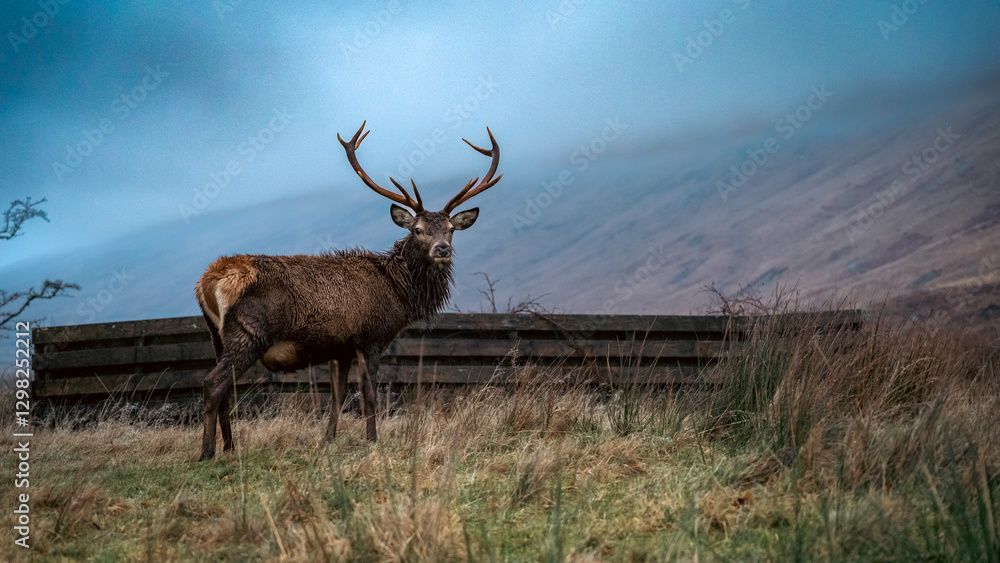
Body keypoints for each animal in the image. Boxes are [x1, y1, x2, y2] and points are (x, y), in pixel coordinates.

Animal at [194, 122, 502, 461]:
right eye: (417, 230)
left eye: (451, 229)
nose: (443, 249)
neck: (398, 292)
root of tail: (209, 279)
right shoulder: (370, 337)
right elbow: (368, 393)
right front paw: (373, 440)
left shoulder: (339, 347)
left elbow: (337, 396)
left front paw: (327, 440)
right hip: (249, 333)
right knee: (213, 383)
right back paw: (206, 452)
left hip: (216, 336)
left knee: (223, 387)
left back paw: (229, 447)